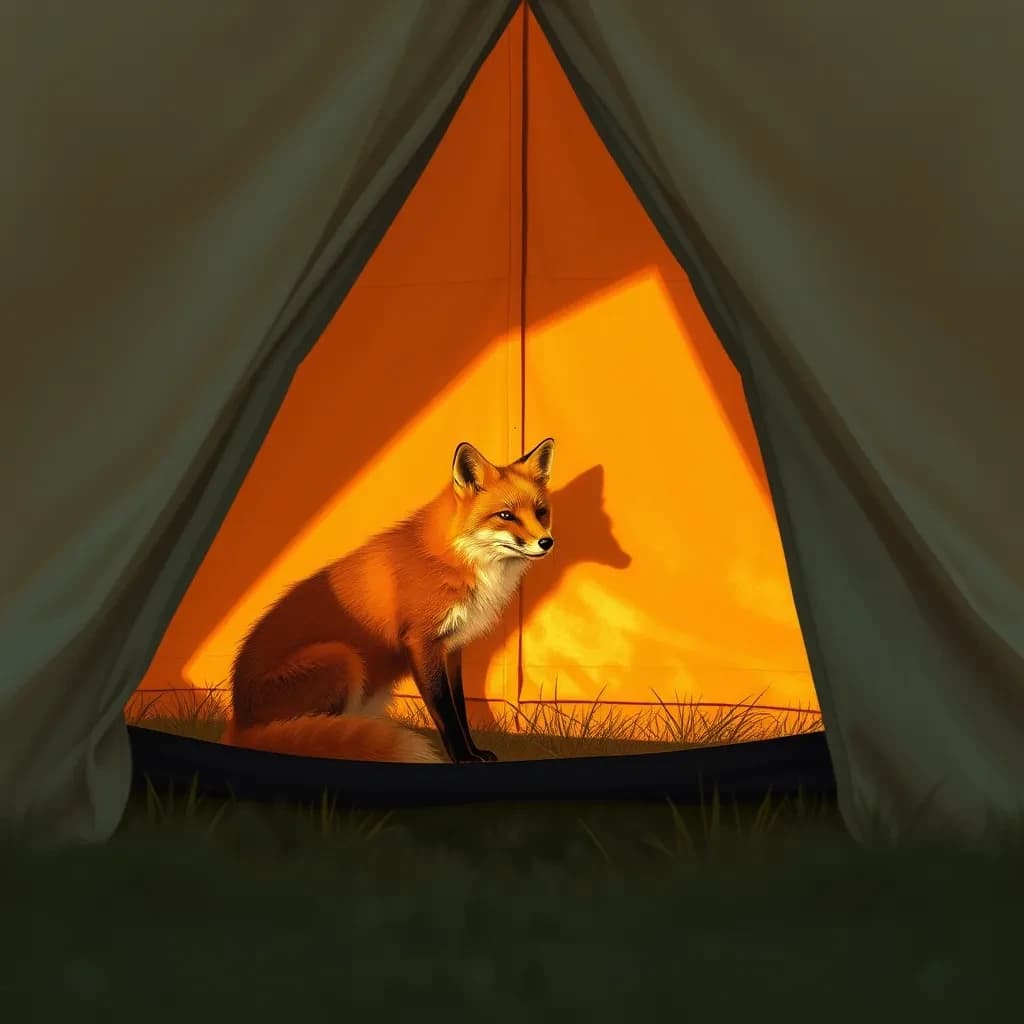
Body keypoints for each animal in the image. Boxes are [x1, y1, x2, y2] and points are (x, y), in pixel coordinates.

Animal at [220, 437, 556, 764]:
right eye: (506, 515)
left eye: (541, 512)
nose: (546, 542)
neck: (459, 558)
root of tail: (239, 721)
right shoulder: (422, 643)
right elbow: (446, 713)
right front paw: (463, 759)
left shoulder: (452, 648)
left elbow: (460, 710)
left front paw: (474, 752)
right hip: (343, 657)